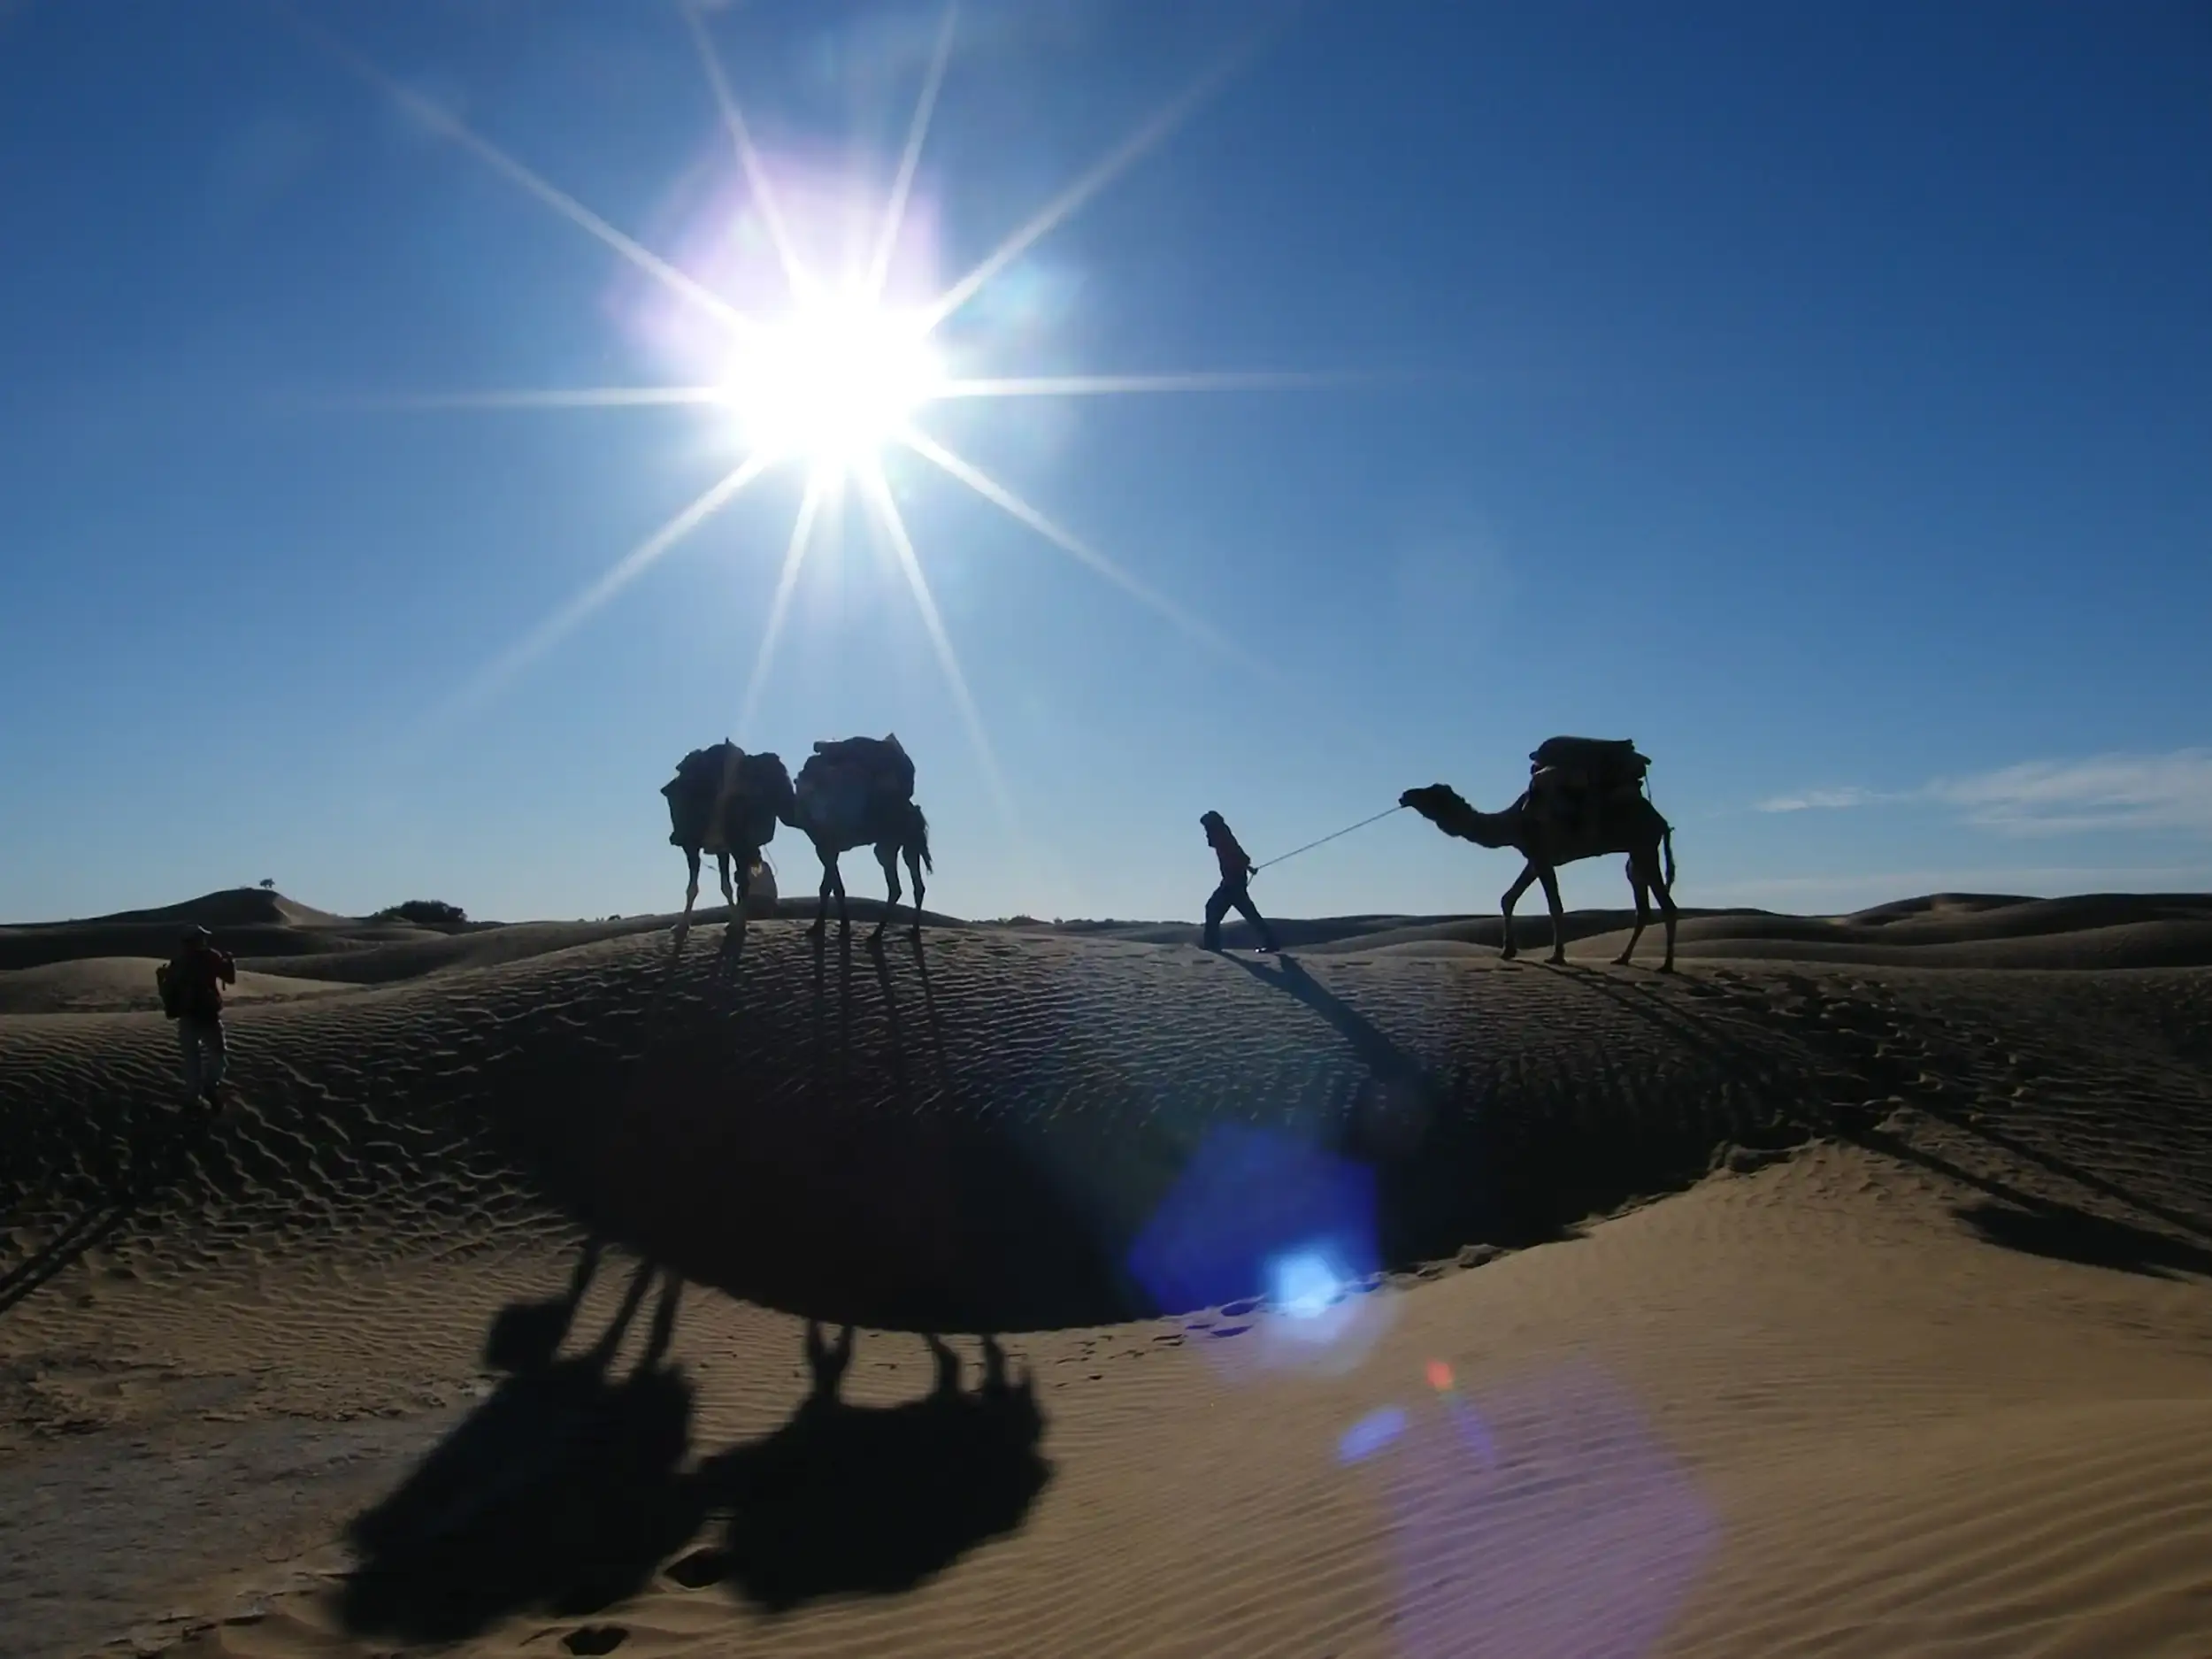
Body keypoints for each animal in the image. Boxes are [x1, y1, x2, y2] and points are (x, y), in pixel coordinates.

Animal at [1398, 739, 1672, 973]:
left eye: (1433, 792)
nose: (1405, 795)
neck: (1513, 820)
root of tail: (1660, 820)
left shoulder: (1542, 855)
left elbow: (1555, 906)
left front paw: (1557, 956)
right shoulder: (1533, 858)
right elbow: (1508, 898)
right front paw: (1508, 951)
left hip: (1644, 847)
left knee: (1667, 906)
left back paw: (1666, 966)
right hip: (1636, 855)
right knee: (1642, 907)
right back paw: (1623, 958)